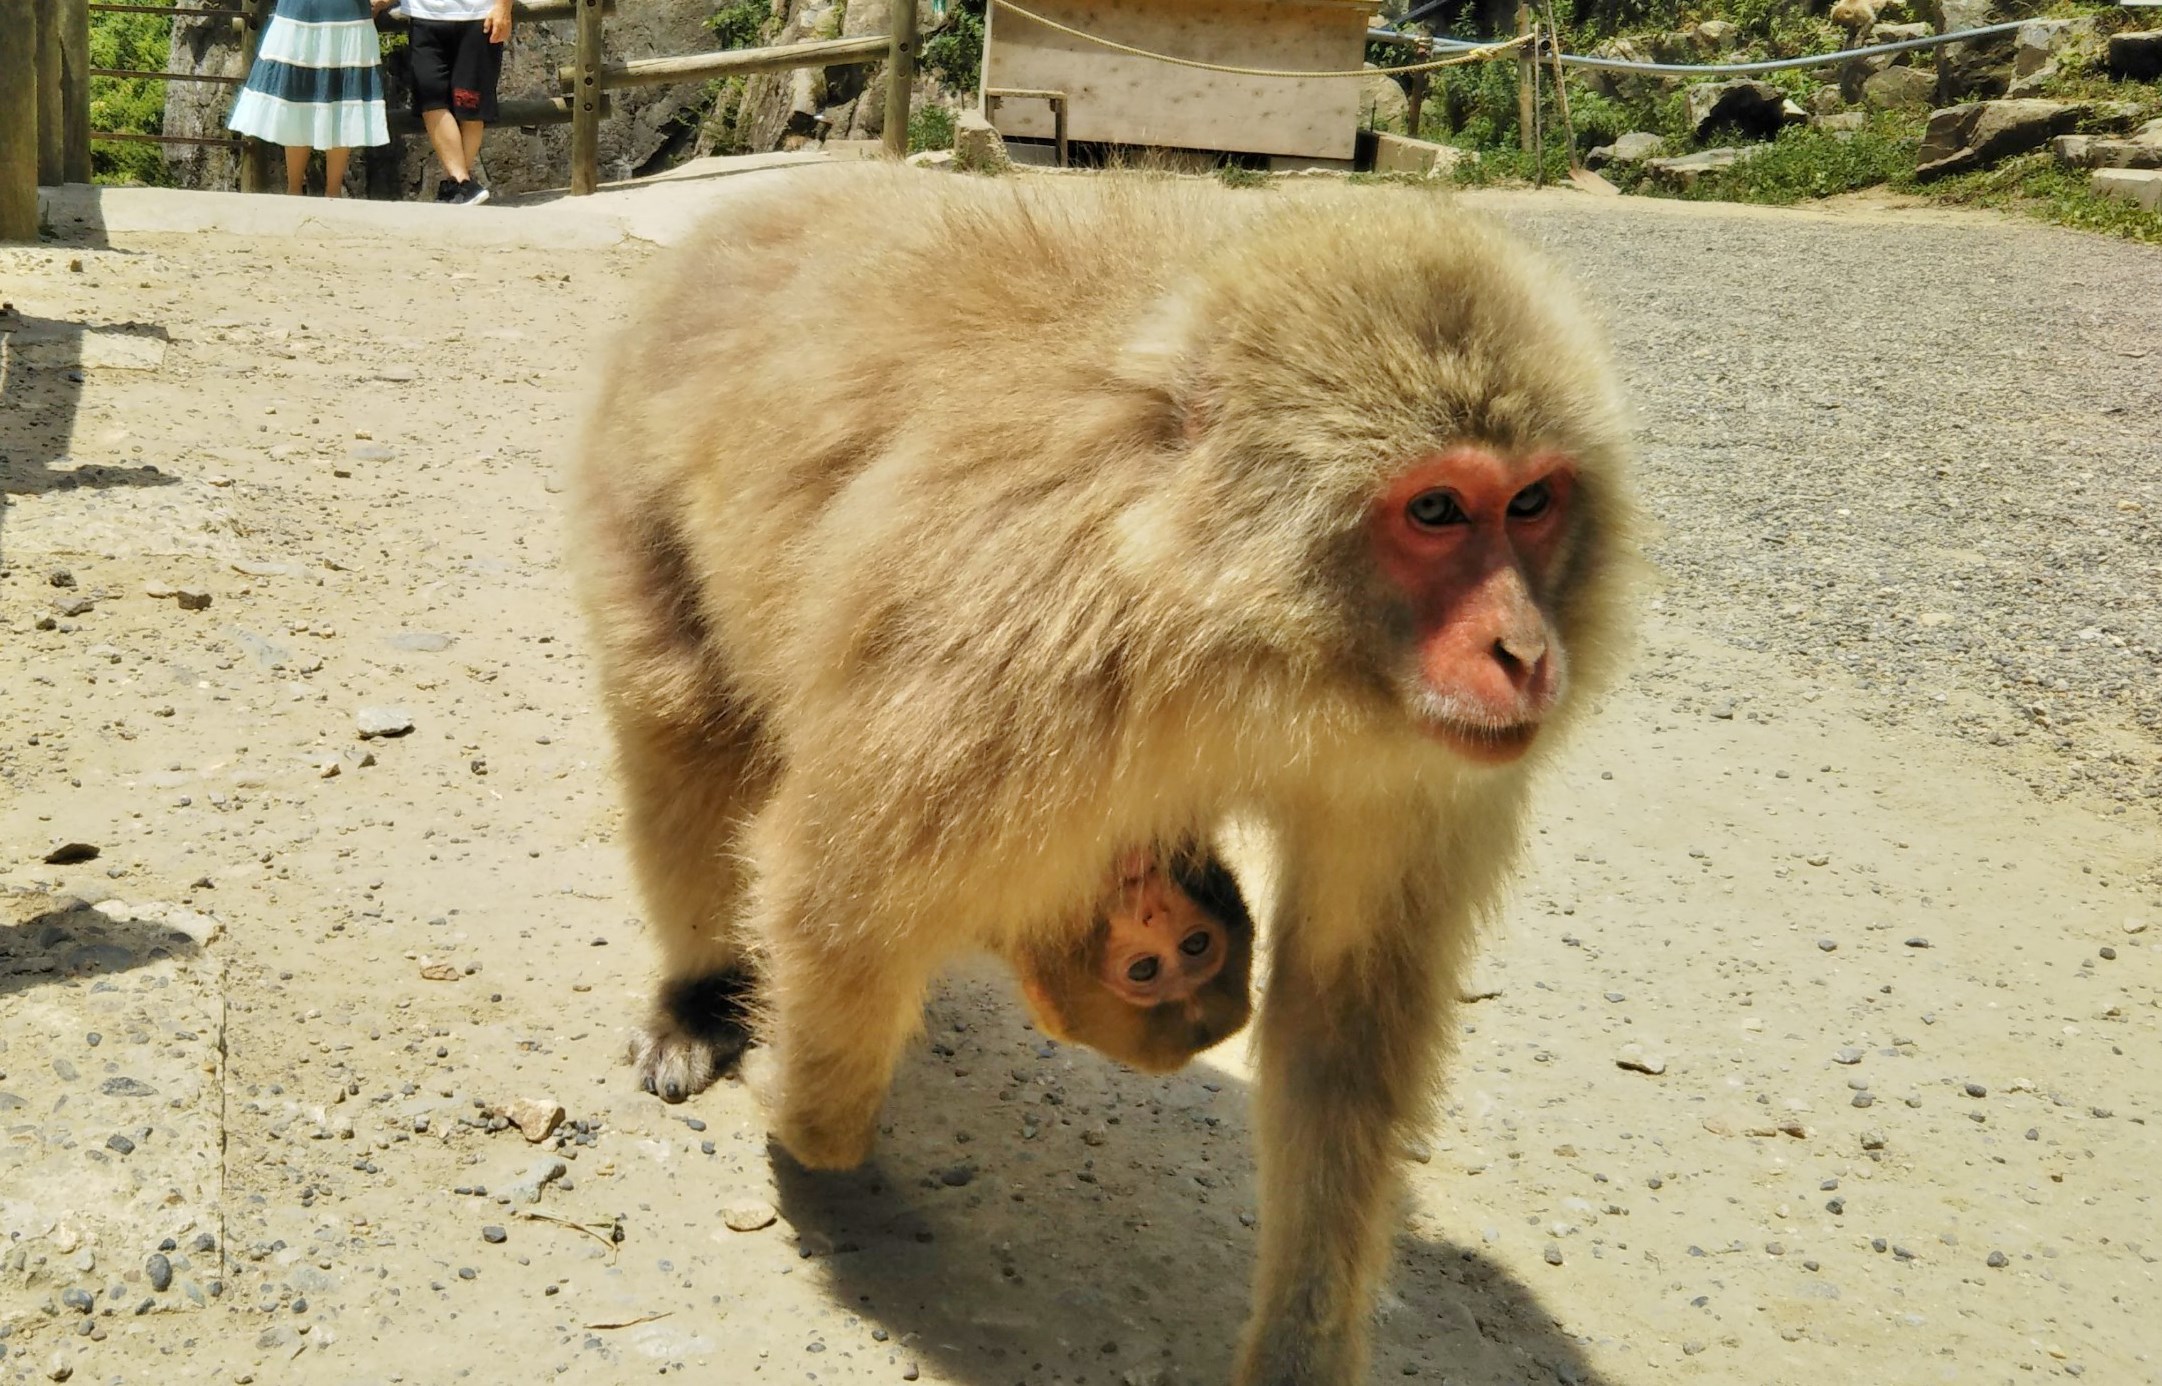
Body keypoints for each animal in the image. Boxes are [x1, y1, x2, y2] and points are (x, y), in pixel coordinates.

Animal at [568, 165, 1635, 1386]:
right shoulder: (1018, 653)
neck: (1226, 619)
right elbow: (833, 895)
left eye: (1533, 502)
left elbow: (1341, 1027)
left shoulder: (1412, 765)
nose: (1524, 651)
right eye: (1437, 509)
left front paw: (1300, 1347)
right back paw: (701, 992)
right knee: (683, 712)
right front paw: (808, 1128)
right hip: (637, 468)